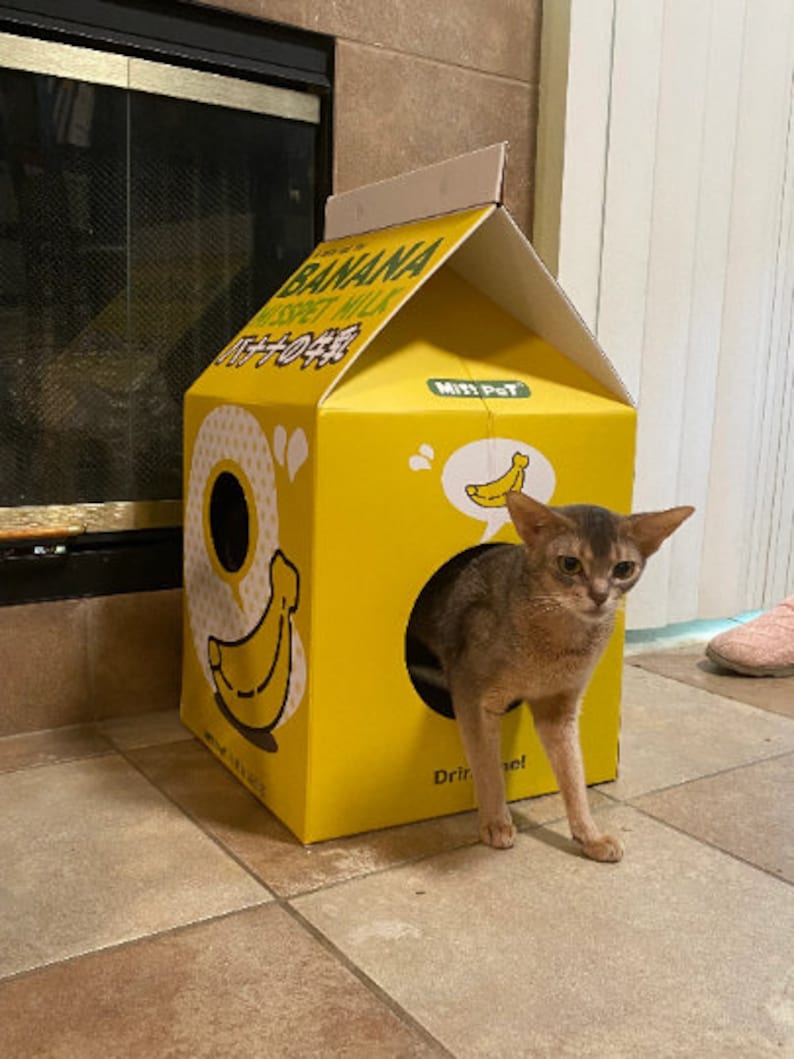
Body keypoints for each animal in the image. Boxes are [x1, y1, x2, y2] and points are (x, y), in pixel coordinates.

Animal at [406, 491, 694, 864]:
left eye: (623, 568)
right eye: (569, 564)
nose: (600, 595)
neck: (557, 649)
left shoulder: (559, 707)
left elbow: (574, 774)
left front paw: (590, 836)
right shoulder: (473, 696)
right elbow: (487, 766)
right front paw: (496, 823)